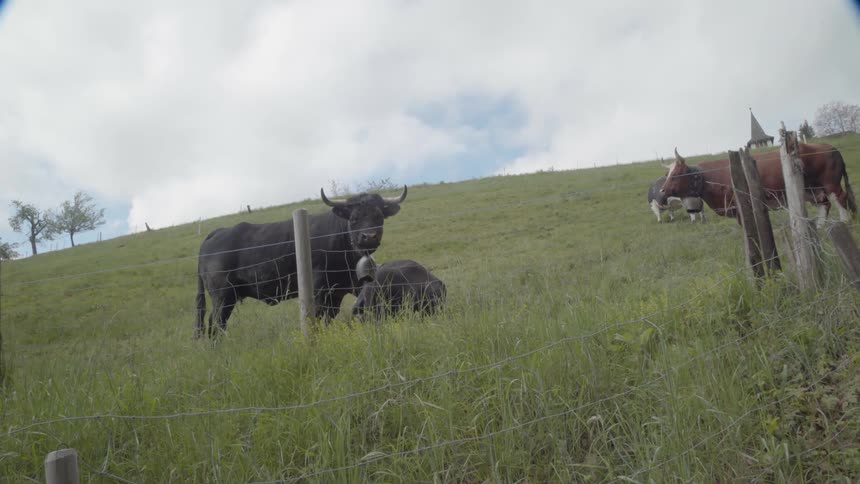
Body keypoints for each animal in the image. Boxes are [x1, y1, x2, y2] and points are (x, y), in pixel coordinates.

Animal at [195, 186, 408, 338]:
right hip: (223, 296)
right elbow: (318, 317)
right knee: (216, 323)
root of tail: (217, 232)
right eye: (354, 218)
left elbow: (330, 318)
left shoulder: (341, 290)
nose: (369, 237)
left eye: (379, 216)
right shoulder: (320, 289)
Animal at [659, 143, 856, 227]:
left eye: (675, 175)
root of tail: (829, 146)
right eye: (667, 174)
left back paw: (845, 221)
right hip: (814, 189)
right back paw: (821, 225)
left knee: (840, 198)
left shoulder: (741, 205)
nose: (662, 191)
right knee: (825, 203)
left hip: (830, 183)